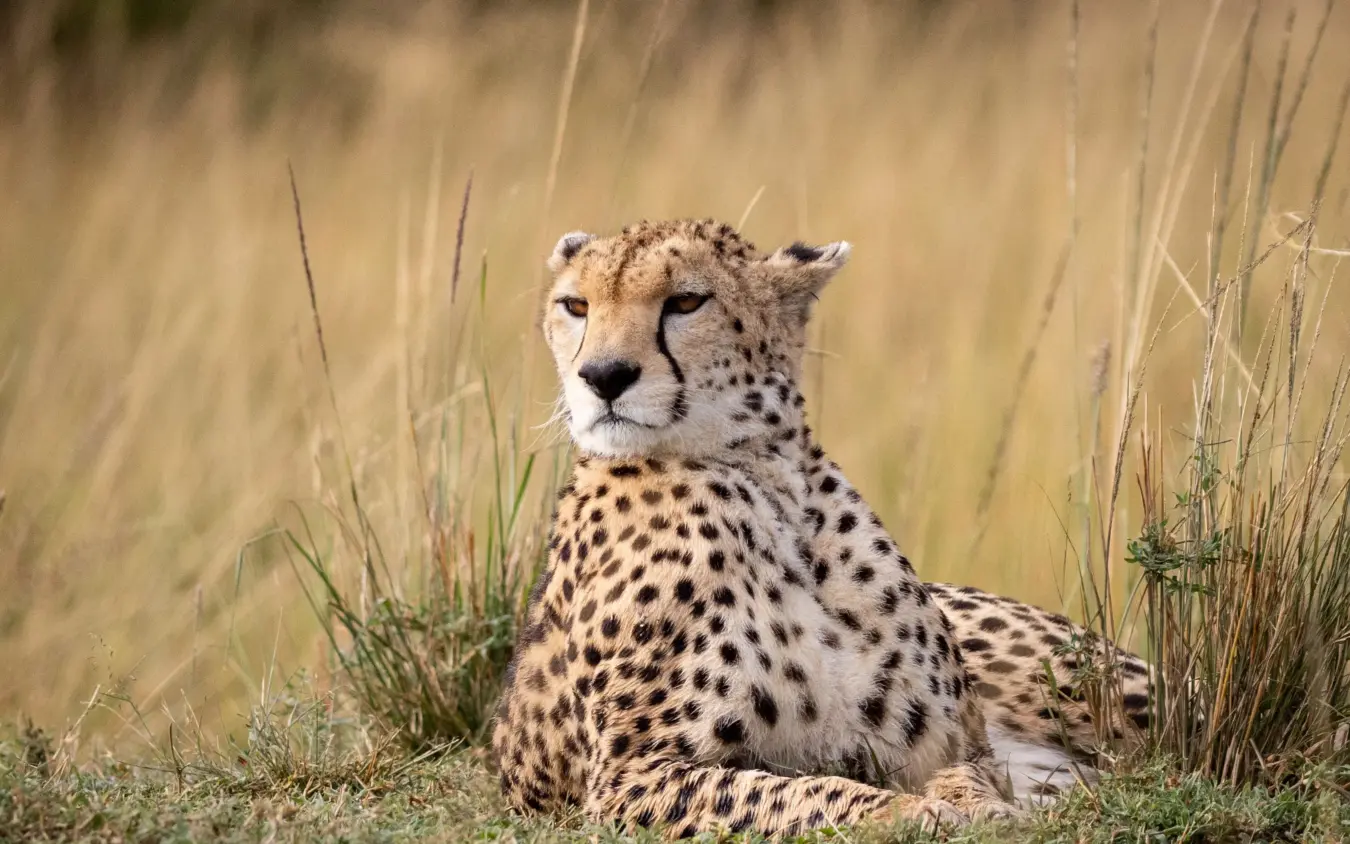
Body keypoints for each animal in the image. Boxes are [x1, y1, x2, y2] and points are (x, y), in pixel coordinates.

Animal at [490, 218, 1152, 838]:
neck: (773, 492)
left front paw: (976, 806)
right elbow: (798, 794)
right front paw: (918, 813)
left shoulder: (960, 742)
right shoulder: (630, 779)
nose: (603, 376)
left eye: (685, 302)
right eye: (576, 306)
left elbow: (966, 773)